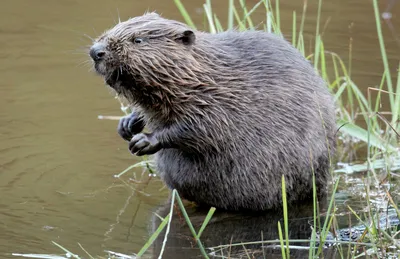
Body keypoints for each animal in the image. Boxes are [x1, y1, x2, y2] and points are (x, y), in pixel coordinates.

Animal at [89, 12, 336, 212]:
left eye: (138, 40)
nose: (95, 51)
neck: (202, 73)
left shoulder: (218, 101)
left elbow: (202, 129)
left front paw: (143, 141)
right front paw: (127, 124)